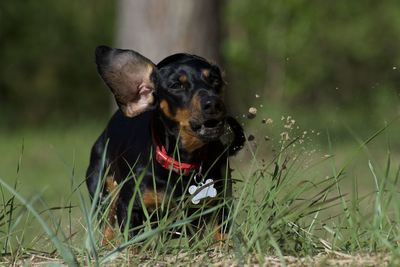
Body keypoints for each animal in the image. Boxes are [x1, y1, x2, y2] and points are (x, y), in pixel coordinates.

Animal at [86, 45, 245, 243]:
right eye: (176, 85)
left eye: (215, 79)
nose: (213, 104)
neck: (181, 164)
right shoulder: (128, 207)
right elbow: (133, 243)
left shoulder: (221, 204)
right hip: (103, 192)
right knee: (106, 228)